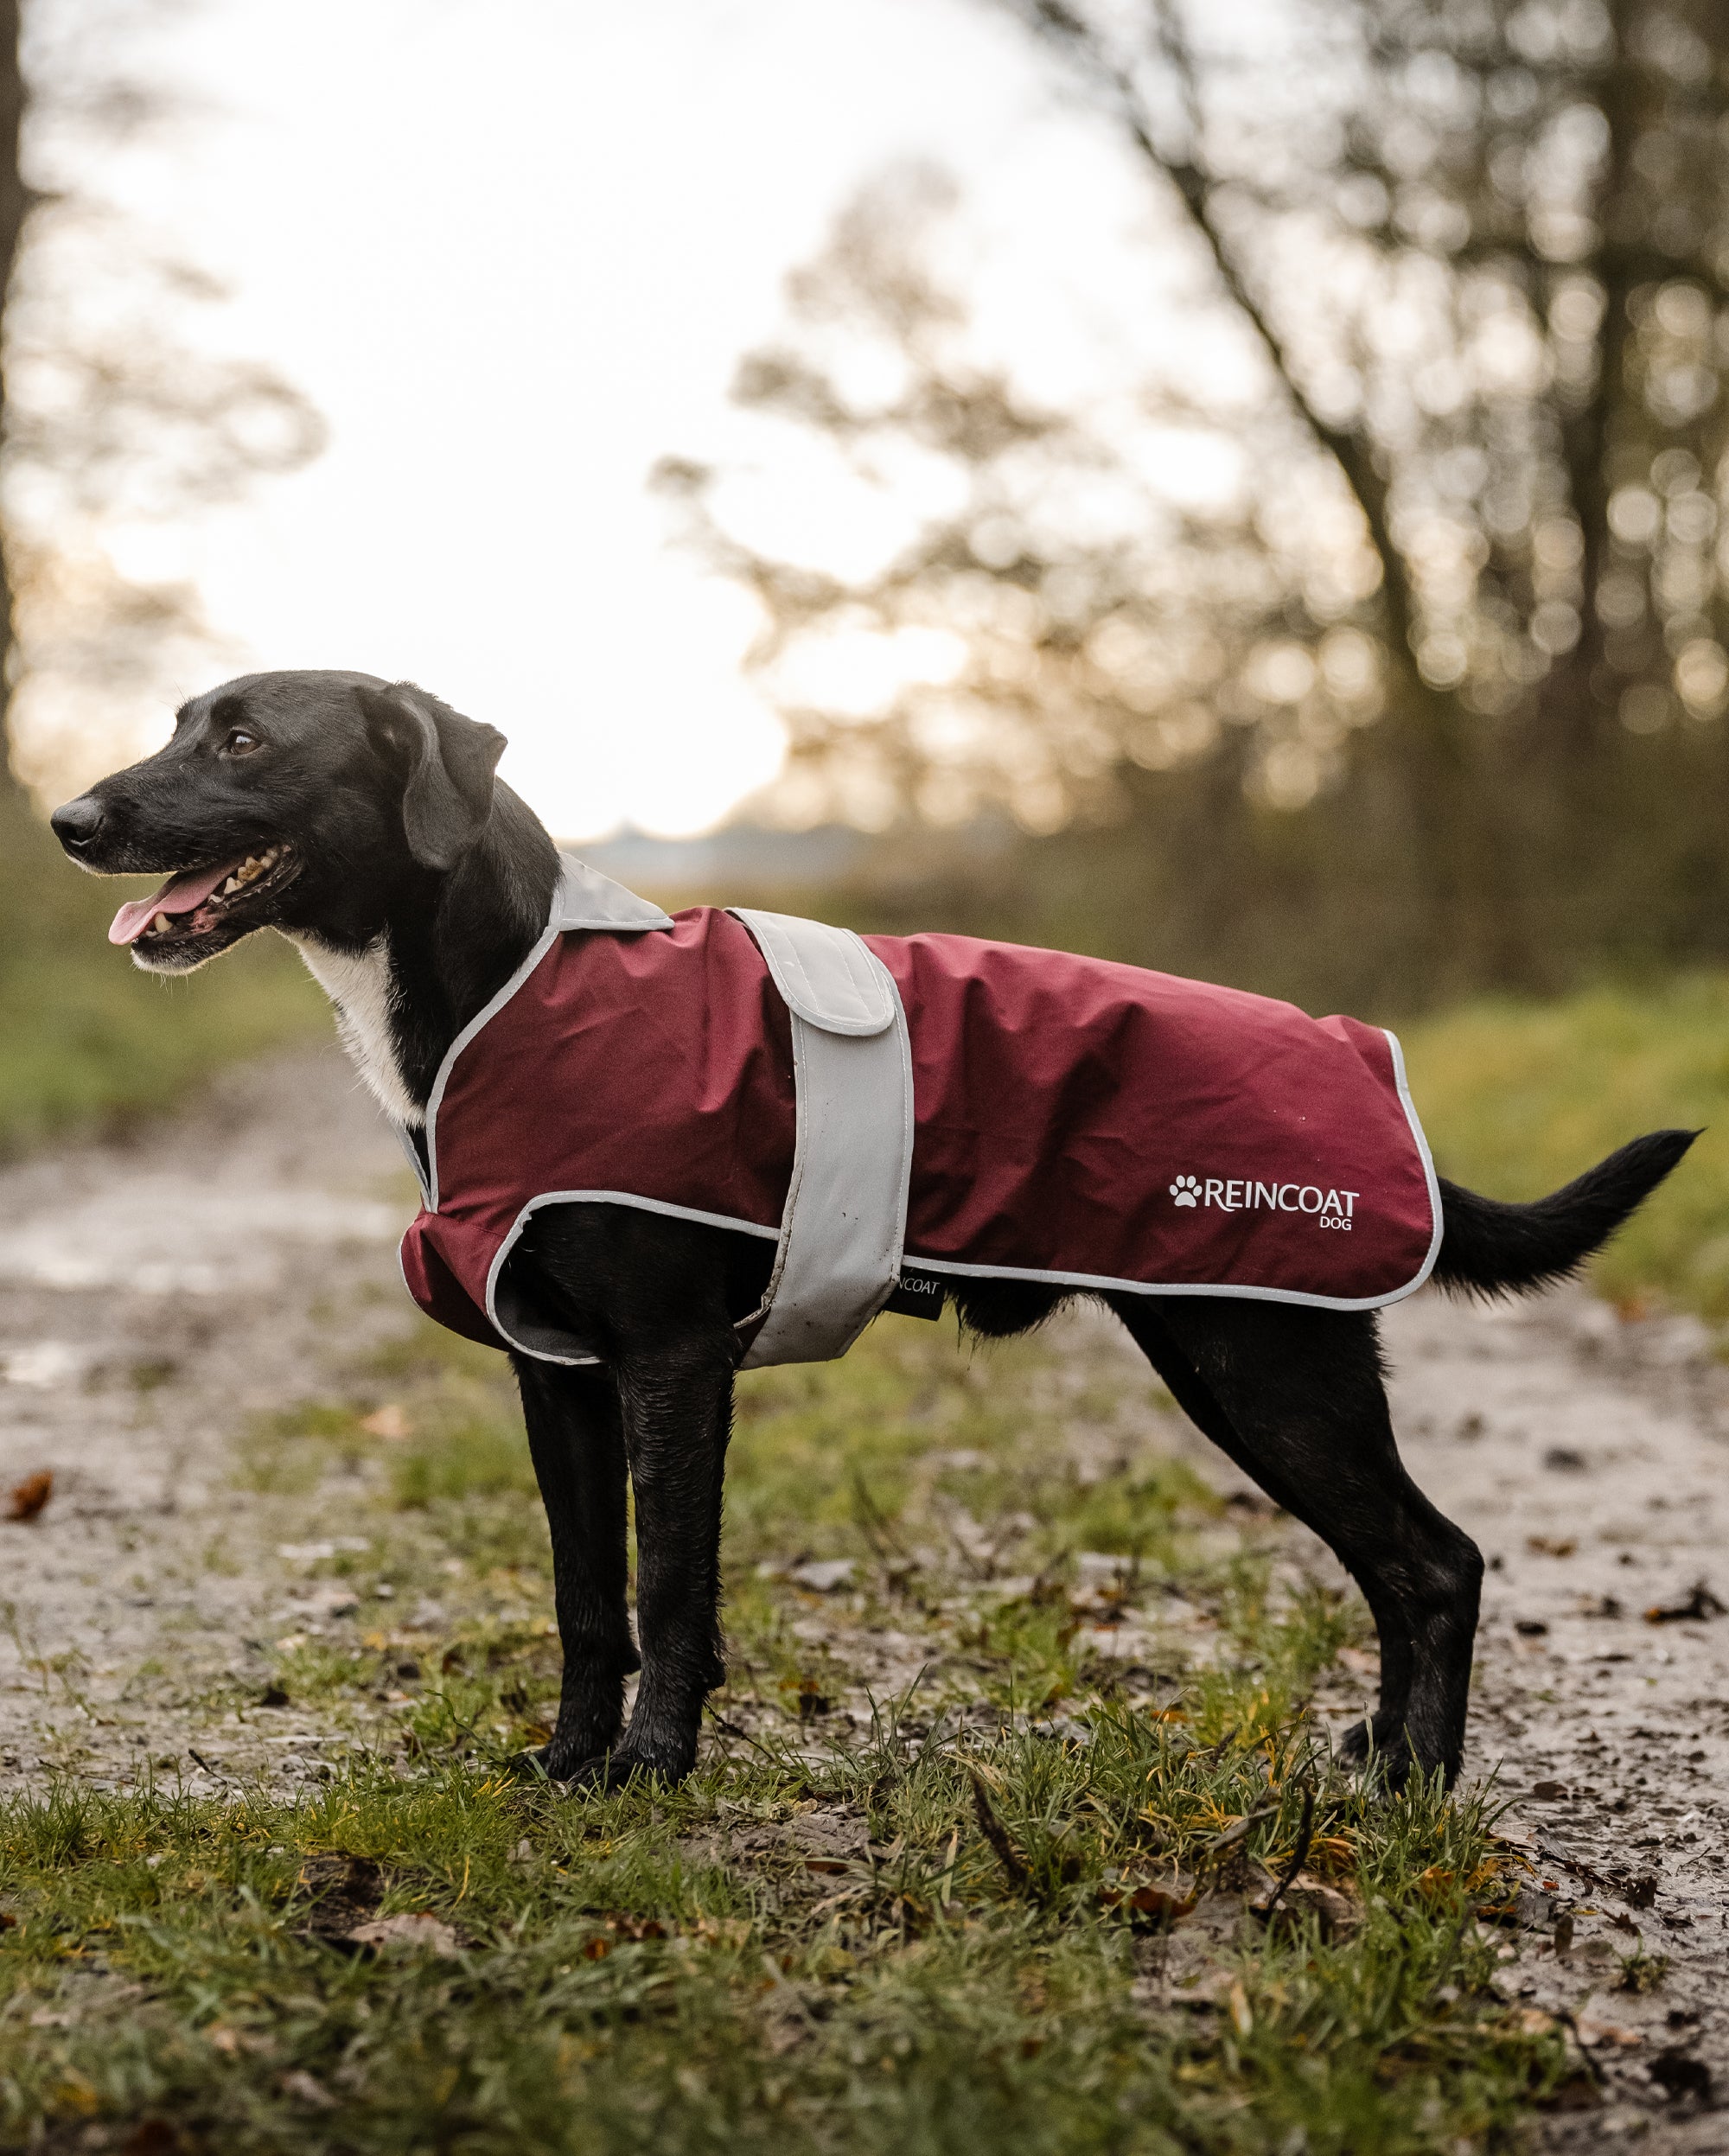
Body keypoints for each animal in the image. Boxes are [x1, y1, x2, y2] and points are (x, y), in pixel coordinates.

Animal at [47, 668, 1690, 1785]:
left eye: (245, 738)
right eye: (181, 719)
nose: (66, 817)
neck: (504, 982)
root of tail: (1354, 1055)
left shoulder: (670, 1362)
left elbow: (667, 1584)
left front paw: (652, 1770)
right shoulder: (554, 1375)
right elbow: (585, 1593)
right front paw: (570, 1764)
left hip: (1262, 1364)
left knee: (1437, 1562)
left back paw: (1414, 1786)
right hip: (1252, 1367)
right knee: (1405, 1568)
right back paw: (1380, 1754)